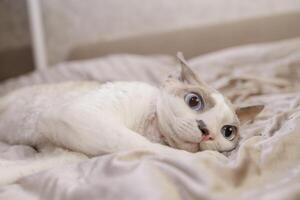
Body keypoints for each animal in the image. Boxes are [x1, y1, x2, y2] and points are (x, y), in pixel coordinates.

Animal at [0, 53, 262, 156]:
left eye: (228, 132)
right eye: (194, 101)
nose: (206, 132)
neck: (151, 129)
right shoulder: (76, 114)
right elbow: (143, 145)